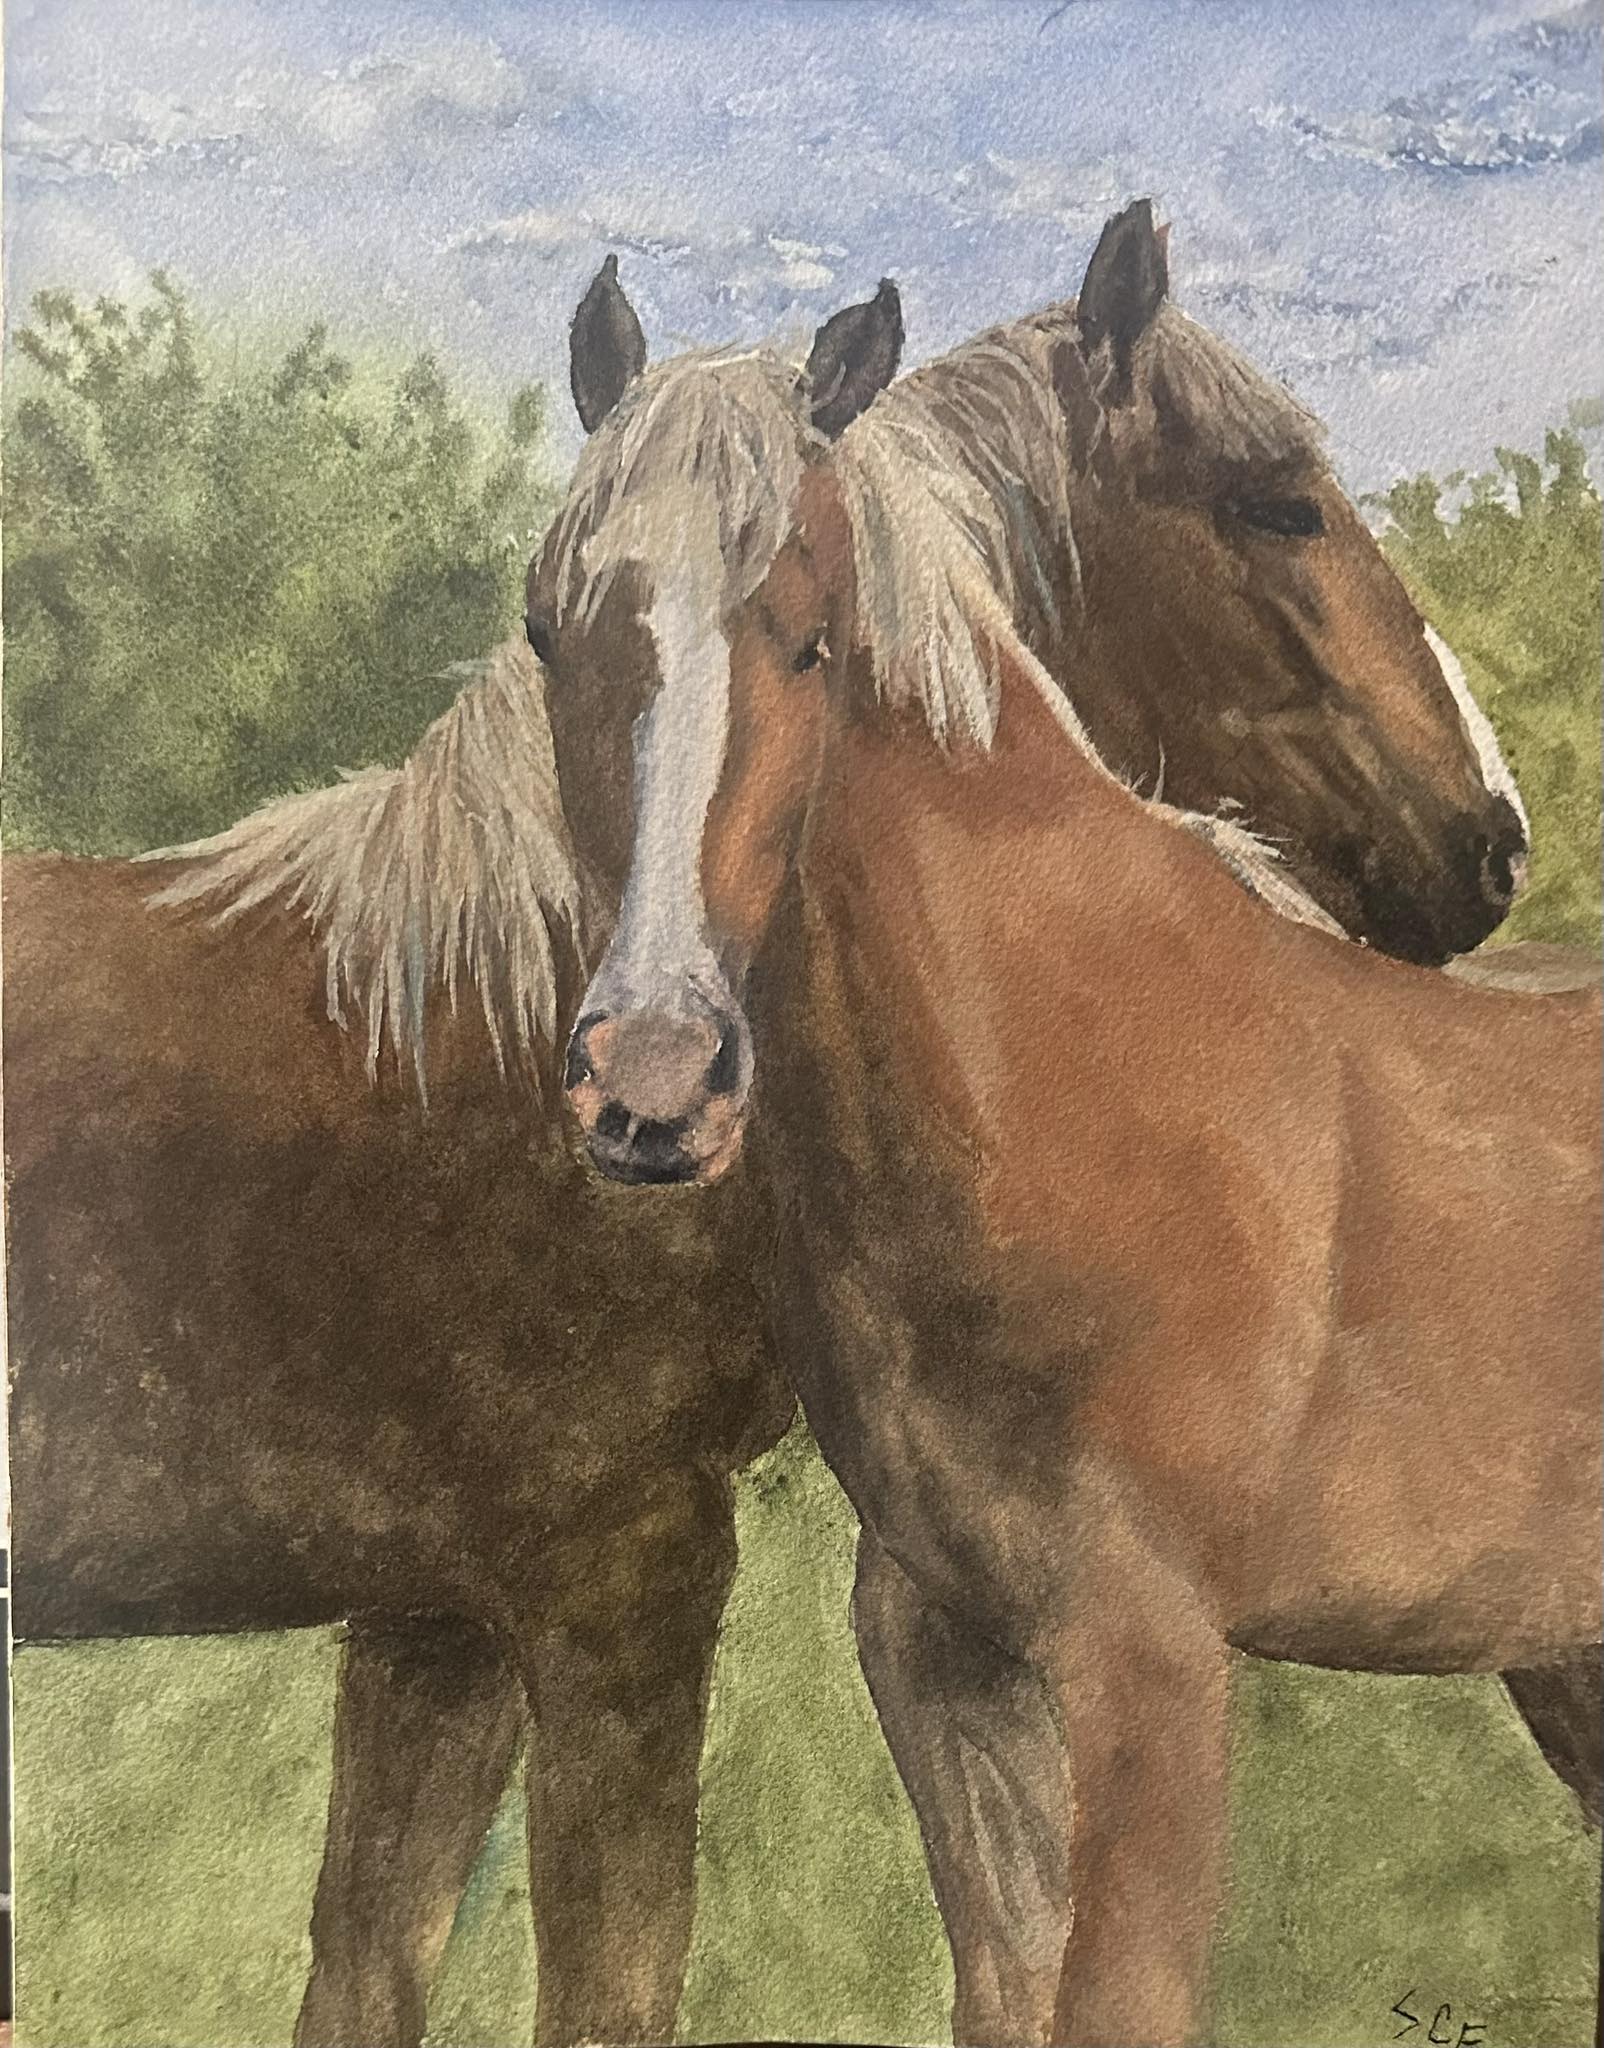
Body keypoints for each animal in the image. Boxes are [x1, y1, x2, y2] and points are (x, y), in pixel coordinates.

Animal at [530, 203, 1599, 2047]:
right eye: (549, 629)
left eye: (810, 636)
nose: (653, 1079)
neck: (1058, 1066)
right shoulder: (952, 1670)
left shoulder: (1152, 1674)